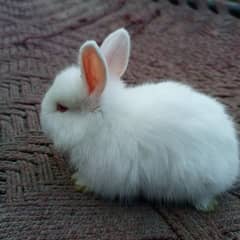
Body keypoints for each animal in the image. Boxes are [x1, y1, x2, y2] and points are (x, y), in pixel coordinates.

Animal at [40, 28, 239, 212]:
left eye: (61, 108)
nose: (42, 118)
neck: (100, 122)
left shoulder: (105, 172)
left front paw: (79, 182)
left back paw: (206, 206)